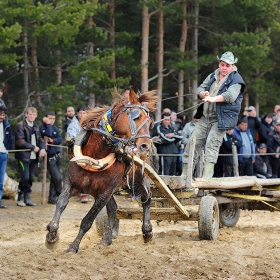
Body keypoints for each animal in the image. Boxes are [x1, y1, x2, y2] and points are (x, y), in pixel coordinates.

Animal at [46, 88, 160, 254]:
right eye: (136, 117)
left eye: (150, 123)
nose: (145, 146)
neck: (95, 155)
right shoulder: (71, 183)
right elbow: (61, 203)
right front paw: (52, 236)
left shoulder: (105, 192)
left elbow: (88, 220)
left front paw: (73, 246)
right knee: (113, 209)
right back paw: (107, 239)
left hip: (138, 177)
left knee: (147, 198)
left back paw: (147, 232)